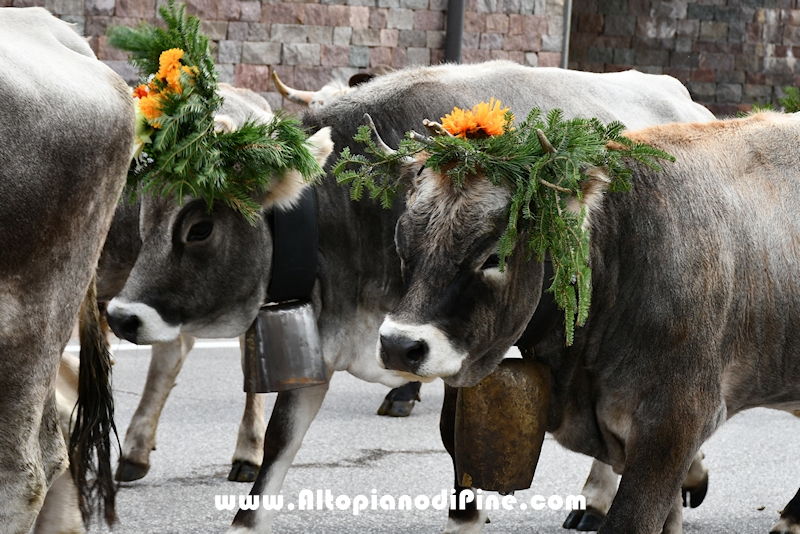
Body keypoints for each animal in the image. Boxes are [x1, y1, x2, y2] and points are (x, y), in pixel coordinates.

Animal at [103, 60, 720, 532]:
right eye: (146, 211)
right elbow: (277, 448)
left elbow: (456, 442)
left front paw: (465, 517)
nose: (122, 317)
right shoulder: (331, 338)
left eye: (200, 227)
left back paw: (597, 500)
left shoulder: (459, 347)